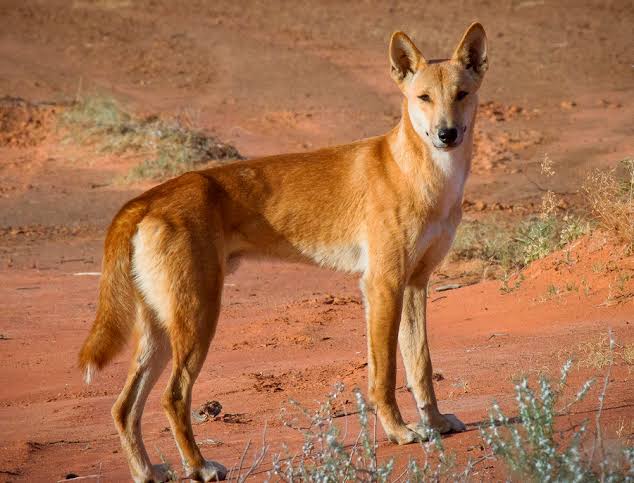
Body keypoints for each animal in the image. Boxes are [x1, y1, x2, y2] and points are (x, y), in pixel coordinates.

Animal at [78, 21, 484, 480]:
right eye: (424, 98)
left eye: (461, 94)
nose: (447, 134)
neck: (422, 173)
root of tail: (146, 198)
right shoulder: (382, 284)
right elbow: (385, 372)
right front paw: (400, 432)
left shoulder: (416, 283)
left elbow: (421, 365)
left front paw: (436, 422)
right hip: (198, 316)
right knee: (173, 397)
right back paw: (200, 466)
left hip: (162, 328)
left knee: (124, 406)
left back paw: (146, 470)